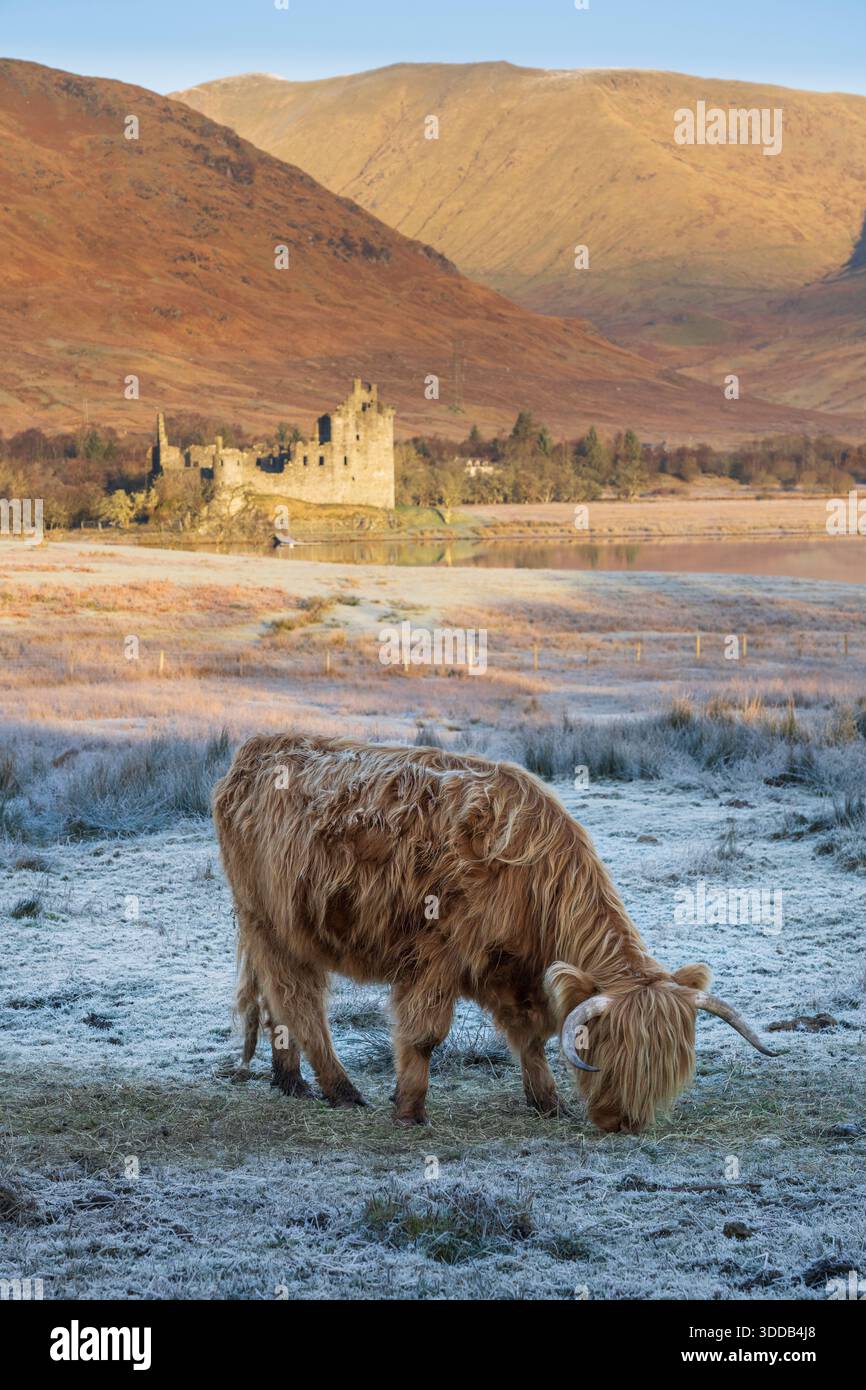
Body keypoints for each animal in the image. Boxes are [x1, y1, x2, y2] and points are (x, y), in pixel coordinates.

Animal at [213, 733, 776, 1132]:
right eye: (613, 1056)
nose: (625, 1124)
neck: (537, 881)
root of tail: (255, 750)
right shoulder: (436, 957)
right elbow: (424, 1036)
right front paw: (409, 1111)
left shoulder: (514, 969)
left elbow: (531, 1035)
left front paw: (547, 1103)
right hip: (270, 922)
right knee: (299, 1003)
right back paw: (341, 1091)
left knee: (275, 1002)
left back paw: (289, 1081)